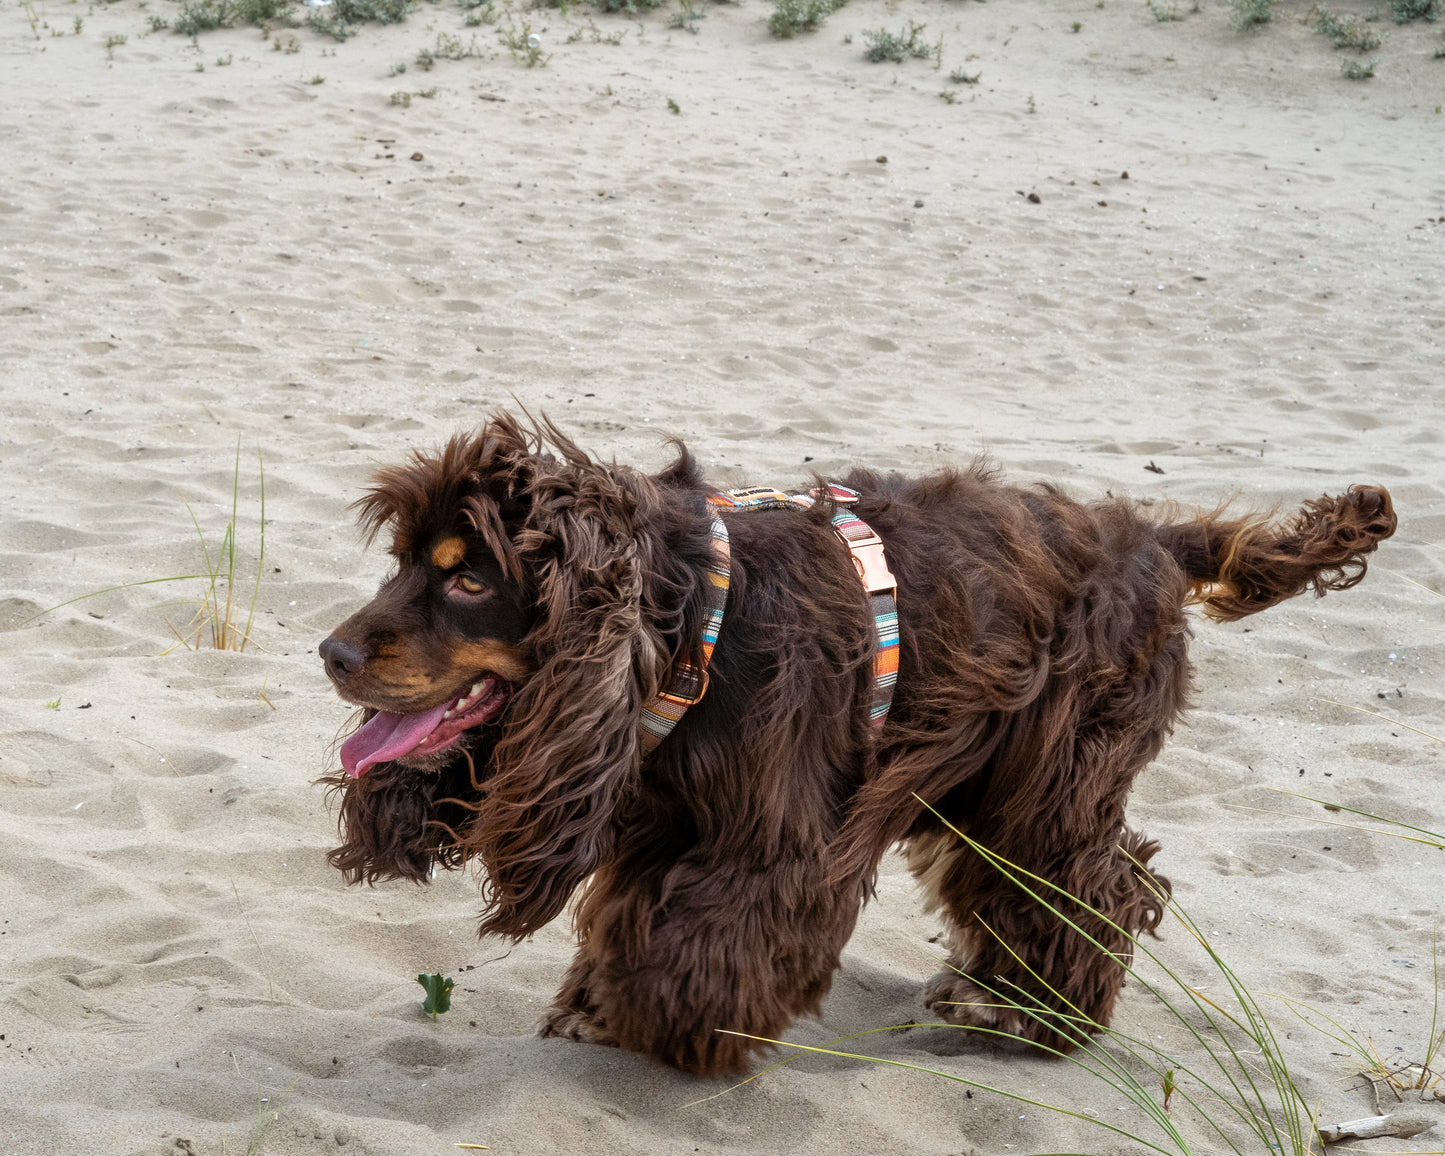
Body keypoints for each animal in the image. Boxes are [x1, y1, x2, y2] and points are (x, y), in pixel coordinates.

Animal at [322, 416, 1392, 1075]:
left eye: (469, 580)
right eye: (405, 562)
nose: (331, 652)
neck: (689, 623)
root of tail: (1155, 540)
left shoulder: (776, 836)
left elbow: (708, 937)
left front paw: (672, 1020)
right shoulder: (664, 809)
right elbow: (633, 909)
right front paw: (600, 1003)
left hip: (1050, 780)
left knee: (1099, 884)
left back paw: (1030, 1013)